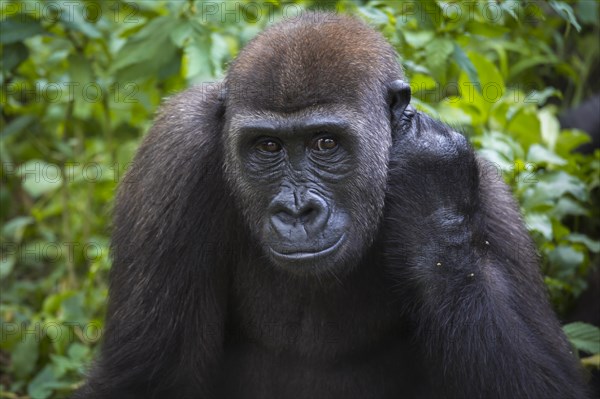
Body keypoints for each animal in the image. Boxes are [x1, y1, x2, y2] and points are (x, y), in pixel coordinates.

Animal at [72, 10, 588, 398]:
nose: (297, 211)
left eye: (325, 143)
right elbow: (144, 380)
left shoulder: (490, 200)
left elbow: (540, 380)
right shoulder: (173, 155)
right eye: (267, 147)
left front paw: (432, 199)